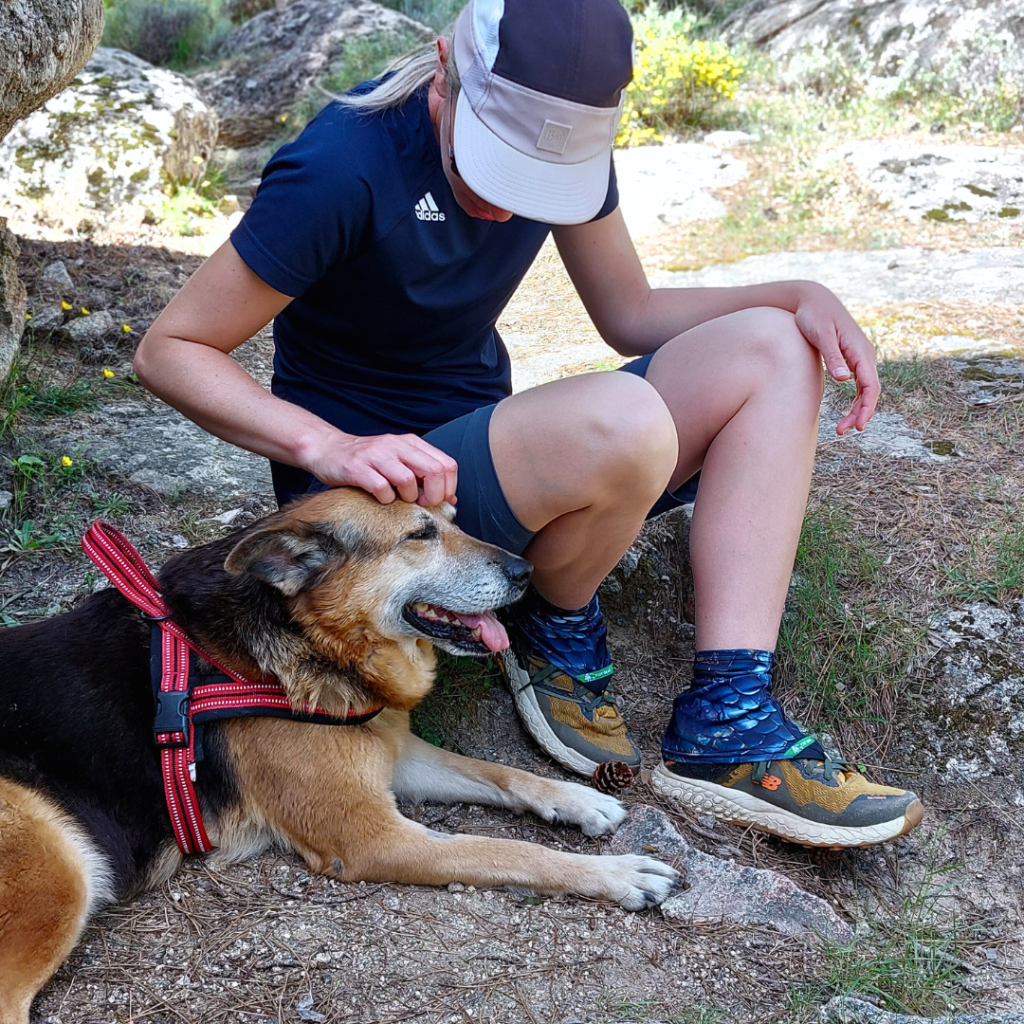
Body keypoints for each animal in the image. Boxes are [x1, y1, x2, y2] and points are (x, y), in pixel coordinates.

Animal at [2, 487, 679, 1024]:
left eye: (453, 519)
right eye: (420, 534)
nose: (527, 570)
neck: (310, 636)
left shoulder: (395, 755)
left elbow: (501, 773)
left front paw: (581, 801)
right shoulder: (371, 837)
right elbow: (507, 851)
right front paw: (620, 874)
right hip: (59, 869)